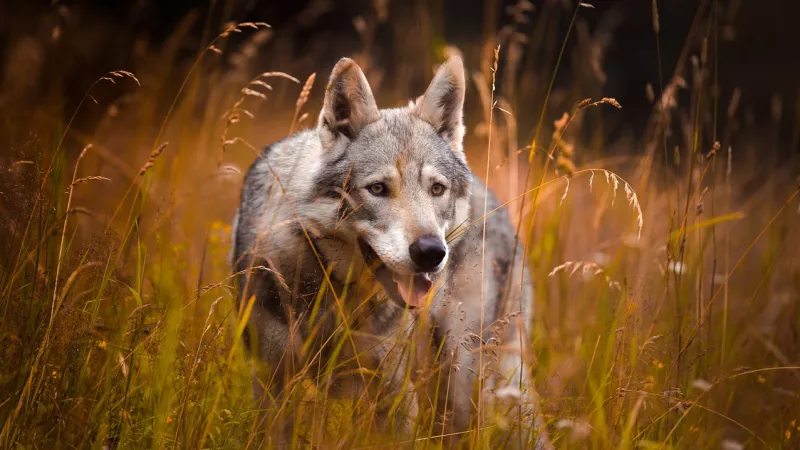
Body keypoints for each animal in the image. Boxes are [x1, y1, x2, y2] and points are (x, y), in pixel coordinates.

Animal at [228, 56, 548, 446]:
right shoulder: (272, 386)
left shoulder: (394, 397)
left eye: (436, 189)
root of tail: (500, 206)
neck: (337, 294)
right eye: (378, 188)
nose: (431, 252)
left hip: (462, 380)